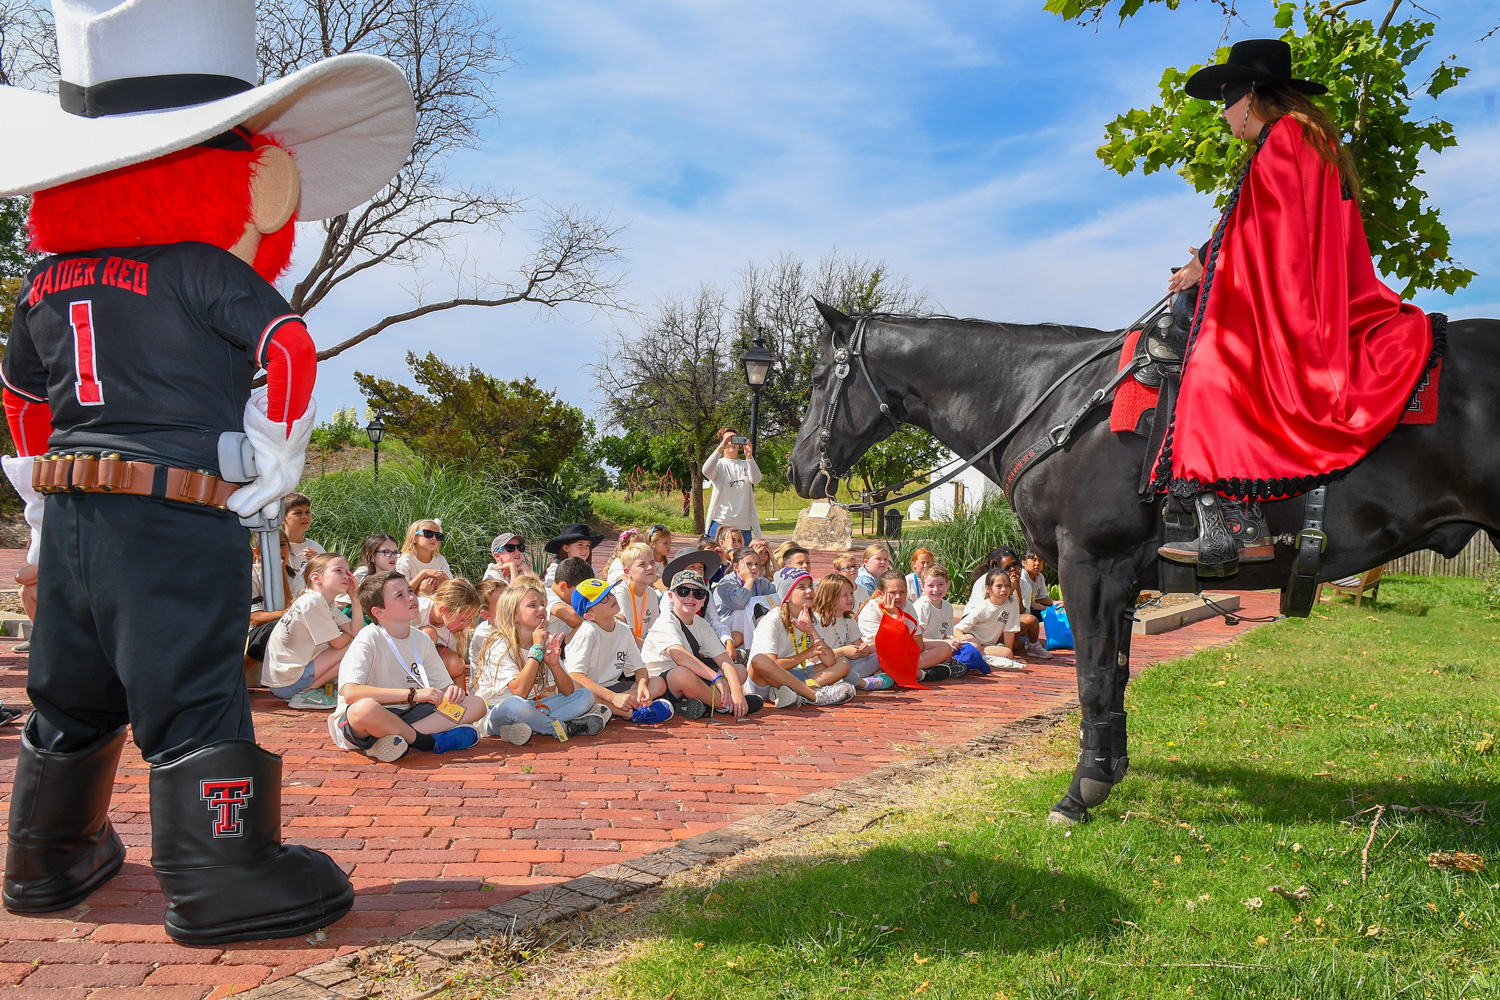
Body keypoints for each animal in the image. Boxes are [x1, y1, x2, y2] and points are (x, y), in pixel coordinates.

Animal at [786, 301, 1500, 827]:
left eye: (820, 380)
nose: (796, 472)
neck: (1057, 407)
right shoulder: (1123, 582)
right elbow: (1117, 677)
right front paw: (1110, 769)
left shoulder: (1090, 568)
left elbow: (1093, 679)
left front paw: (1083, 791)